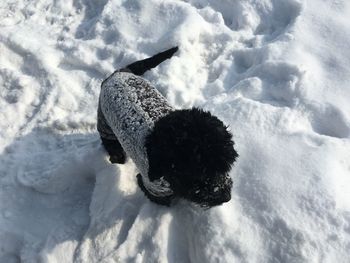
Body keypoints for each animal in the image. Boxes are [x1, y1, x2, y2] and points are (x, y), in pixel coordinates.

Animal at [96, 47, 238, 208]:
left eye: (225, 166)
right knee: (110, 142)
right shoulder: (153, 187)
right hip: (104, 122)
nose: (226, 197)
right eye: (201, 171)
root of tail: (118, 72)